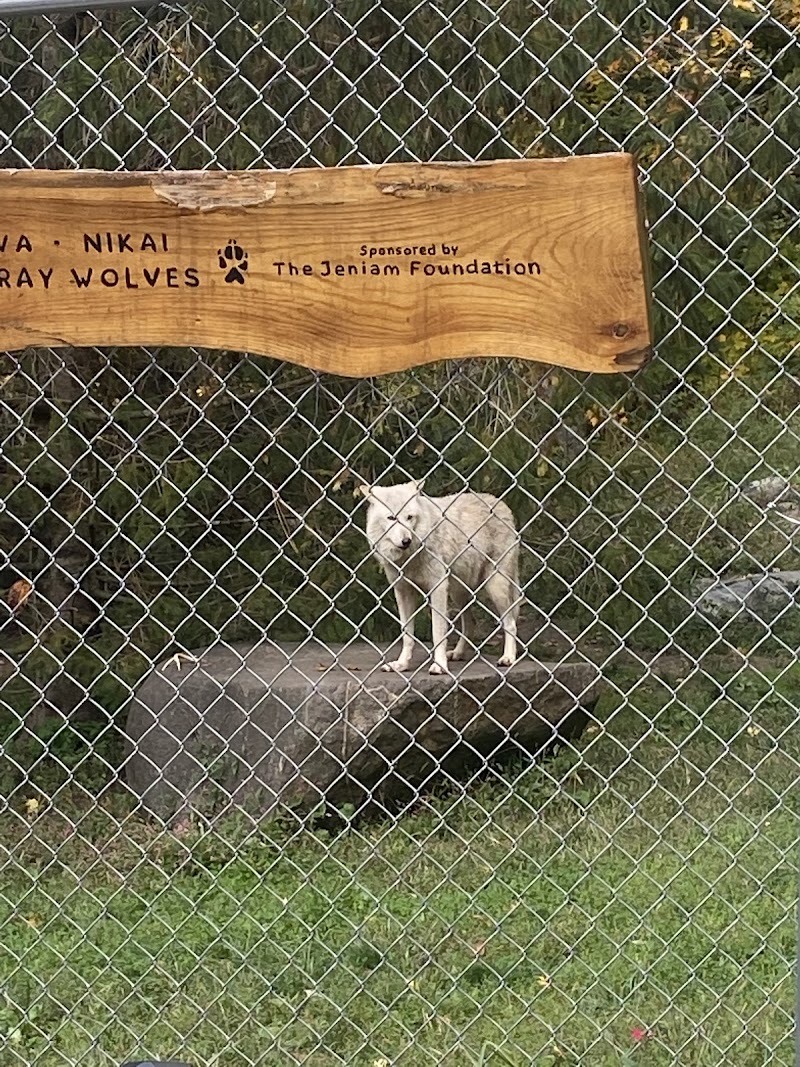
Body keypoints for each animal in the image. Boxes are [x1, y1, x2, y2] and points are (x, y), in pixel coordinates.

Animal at [360, 480, 521, 674]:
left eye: (409, 517)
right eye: (391, 518)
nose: (406, 541)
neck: (410, 558)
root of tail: (501, 504)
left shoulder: (437, 589)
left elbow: (437, 633)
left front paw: (439, 665)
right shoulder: (403, 591)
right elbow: (407, 635)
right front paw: (402, 664)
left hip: (495, 587)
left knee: (510, 622)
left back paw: (508, 658)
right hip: (458, 593)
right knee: (470, 623)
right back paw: (458, 653)